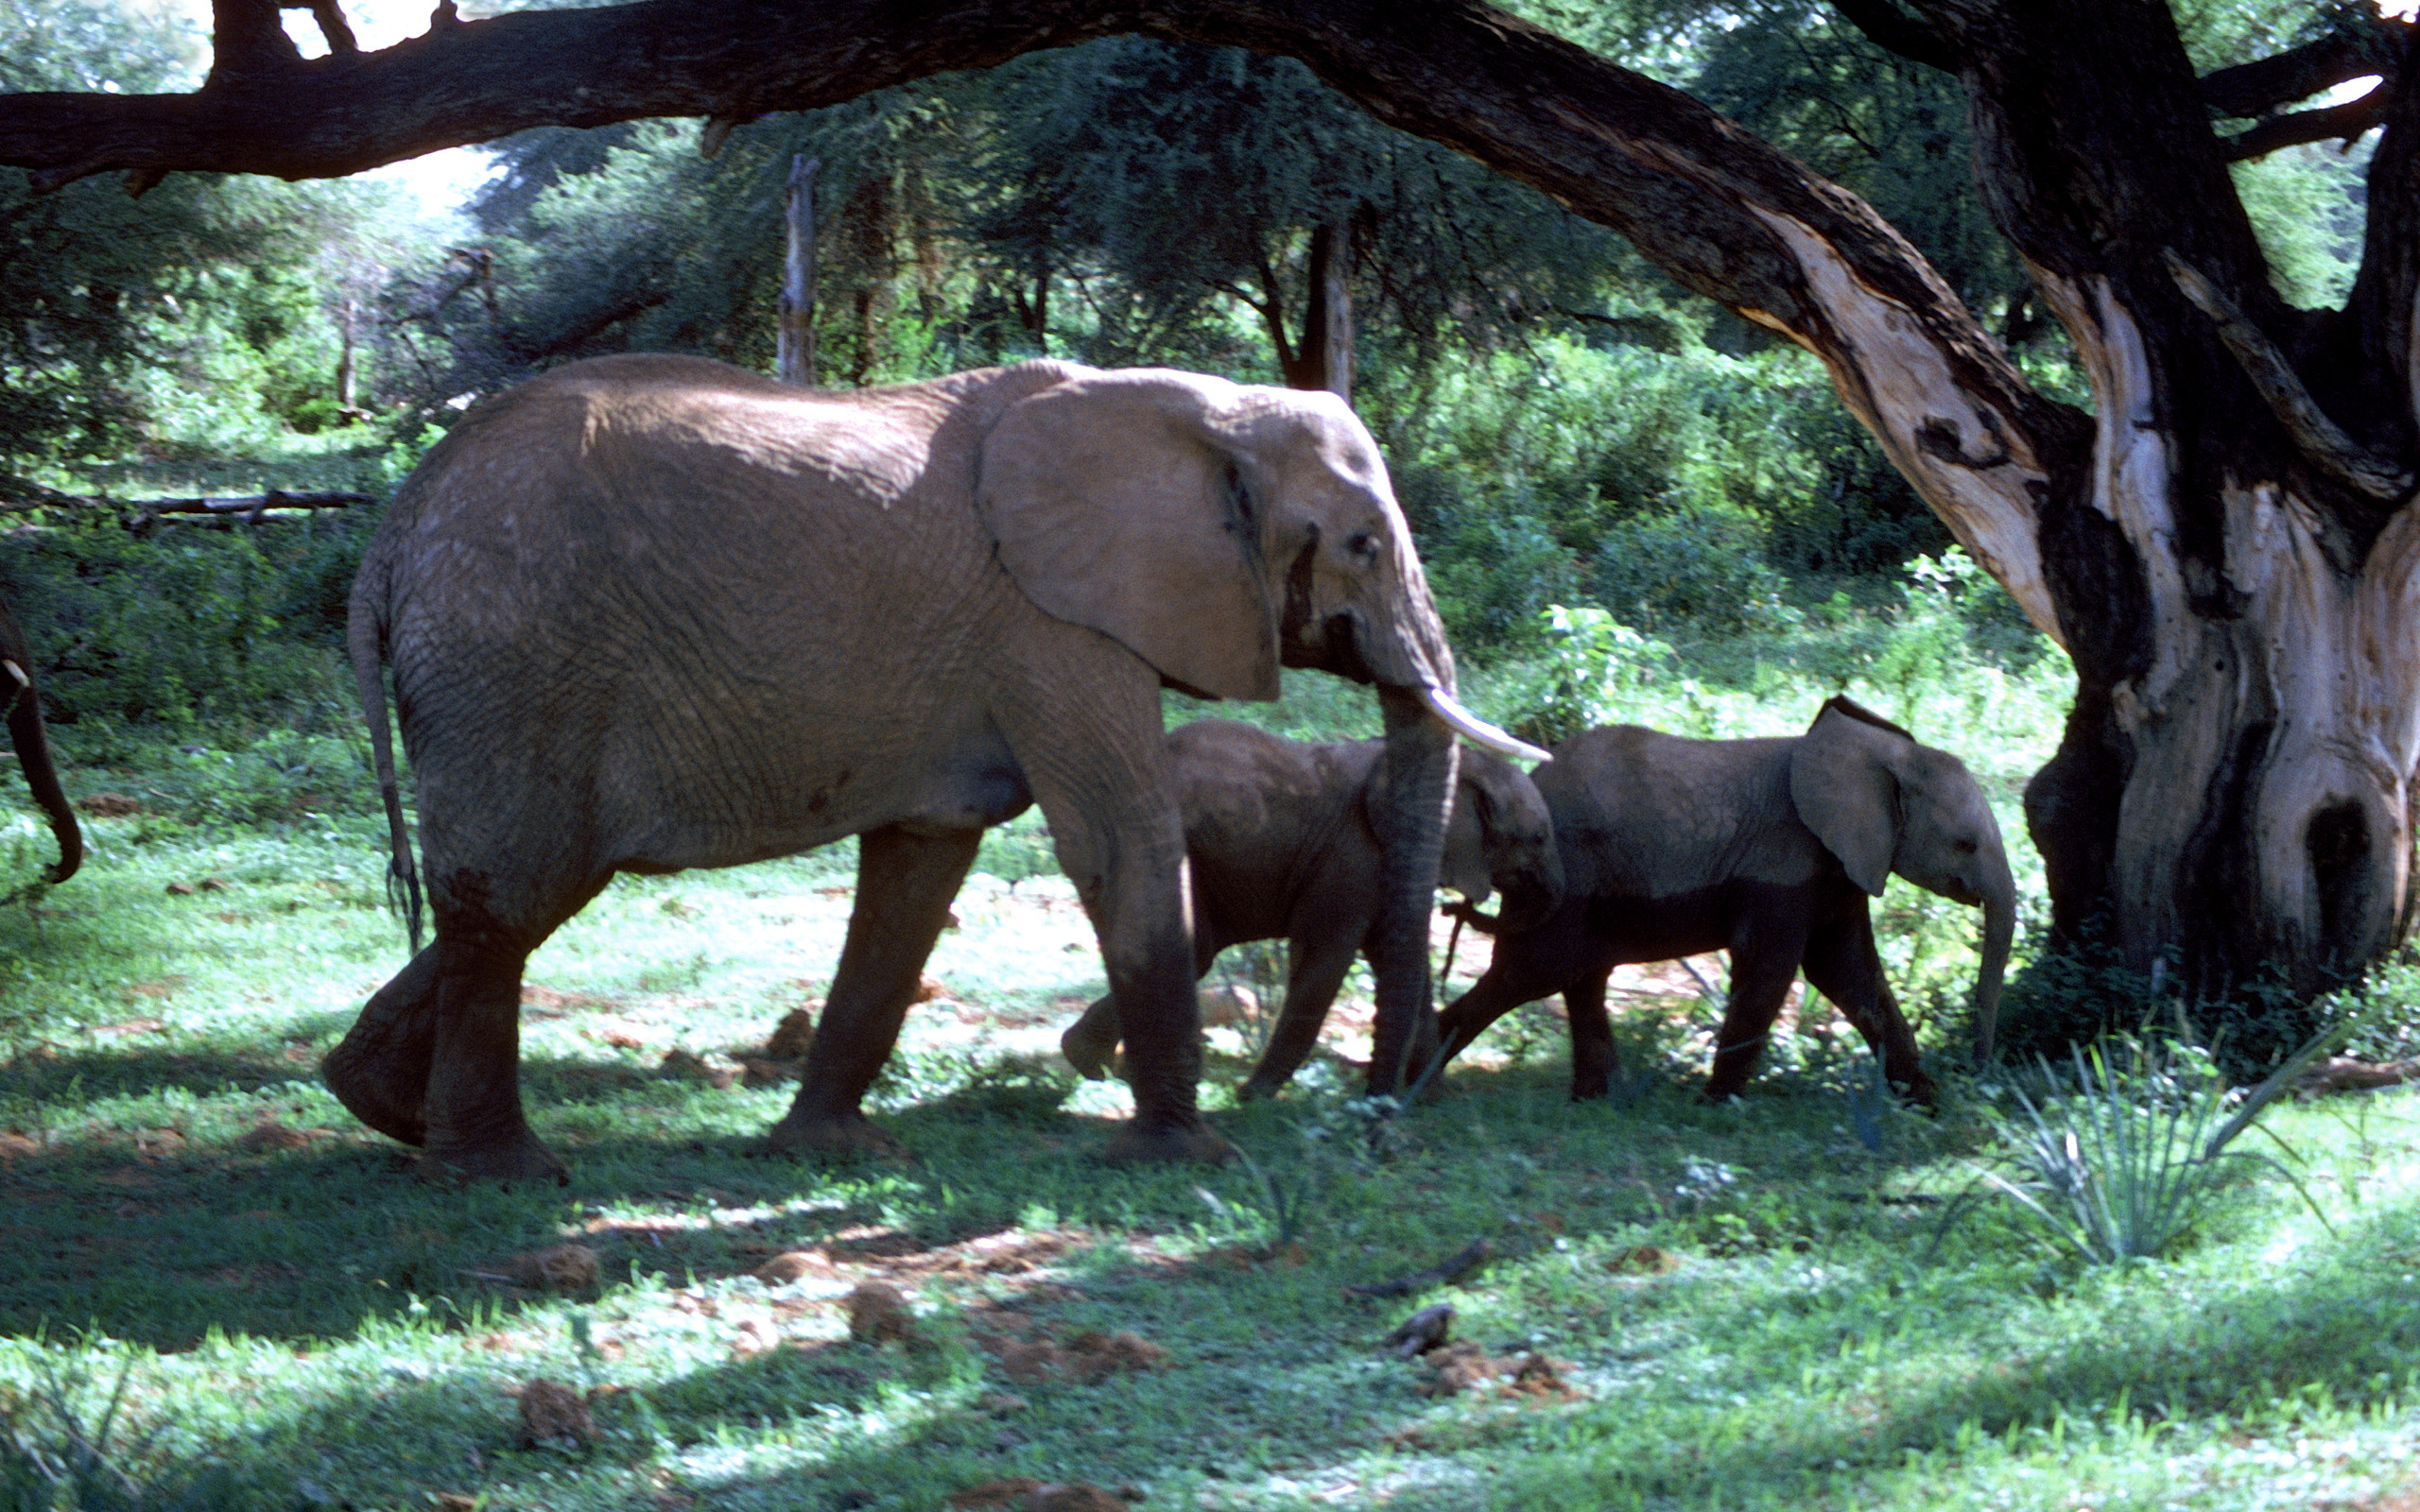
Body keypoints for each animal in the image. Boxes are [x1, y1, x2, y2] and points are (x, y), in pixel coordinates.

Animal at [1064, 720, 1567, 1098]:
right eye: (1538, 838)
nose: (1449, 910)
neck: (1464, 765)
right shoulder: (1354, 856)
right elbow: (1325, 956)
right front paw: (1253, 1100)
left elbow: (1398, 958)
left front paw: (1435, 1099)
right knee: (1192, 951)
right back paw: (1096, 1065)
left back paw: (1097, 1067)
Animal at [1432, 696, 2023, 1108]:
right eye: (1966, 845)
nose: (1976, 1074)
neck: (1880, 757)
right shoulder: (1783, 867)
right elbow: (1772, 970)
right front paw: (1714, 1109)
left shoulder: (1838, 869)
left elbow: (1848, 972)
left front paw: (1924, 1102)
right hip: (1561, 882)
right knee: (1531, 972)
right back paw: (1414, 1080)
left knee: (1579, 979)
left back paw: (1596, 1102)